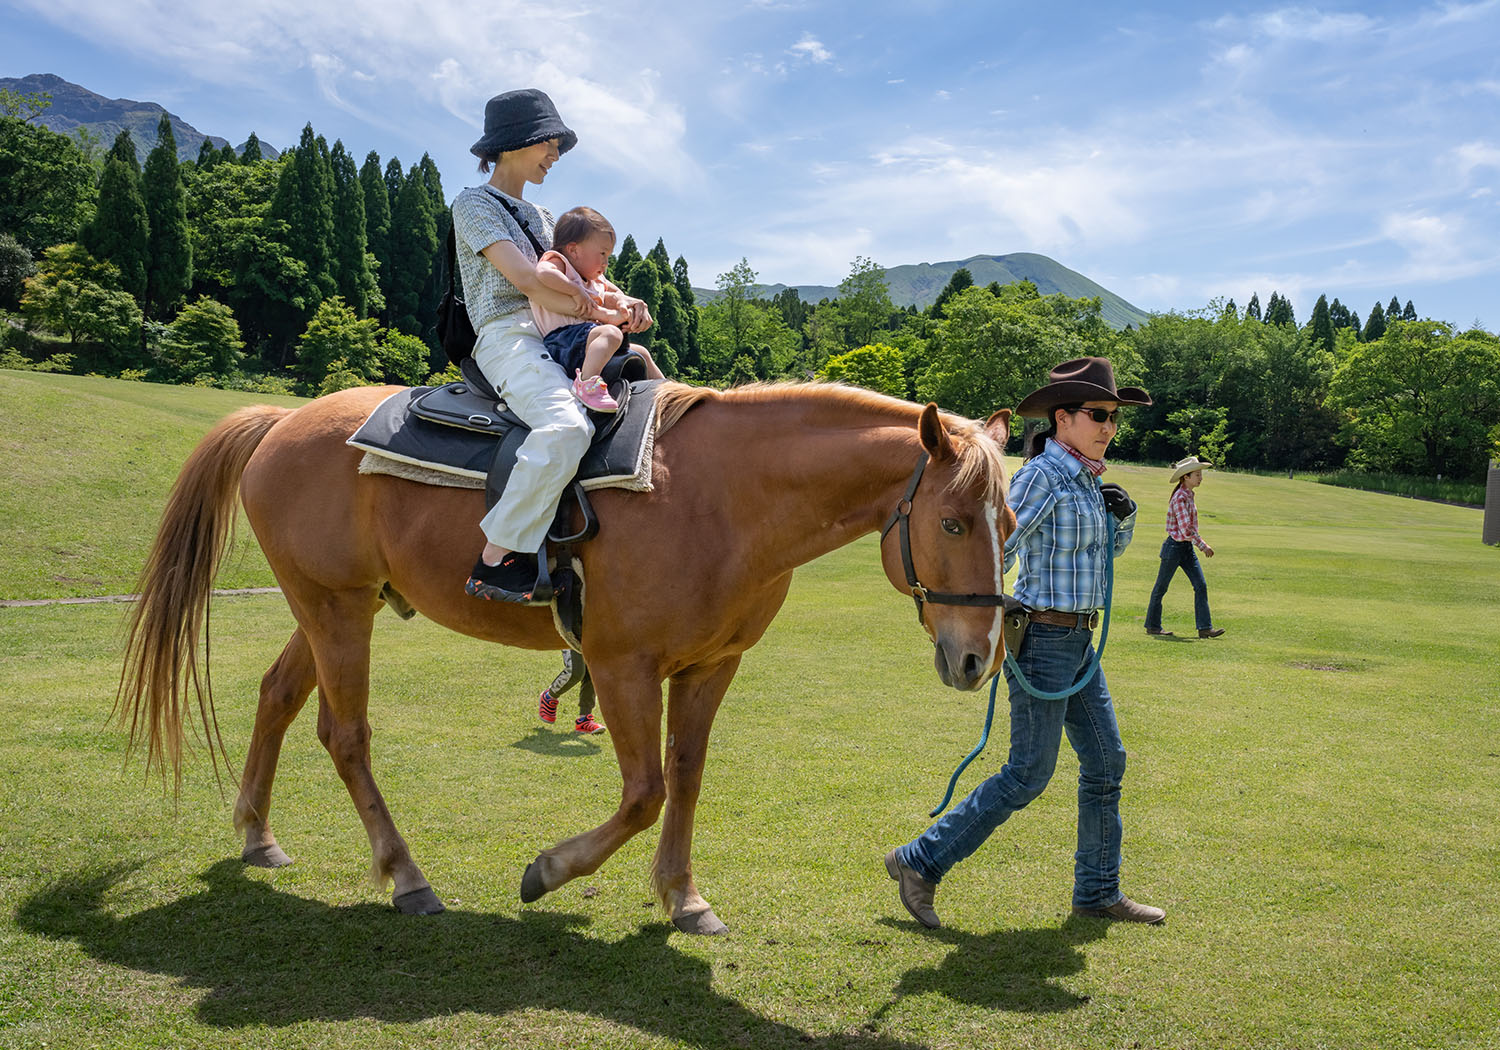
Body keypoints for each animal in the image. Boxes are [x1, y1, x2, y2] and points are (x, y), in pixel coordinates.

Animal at [114, 379, 1008, 936]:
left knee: (276, 696)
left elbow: (685, 778)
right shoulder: (619, 666)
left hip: (336, 605)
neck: (724, 498)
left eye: (1011, 521)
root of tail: (282, 420)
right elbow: (644, 793)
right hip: (334, 610)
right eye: (954, 522)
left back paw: (257, 835)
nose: (979, 658)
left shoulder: (711, 667)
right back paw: (405, 876)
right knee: (346, 735)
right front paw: (549, 870)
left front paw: (683, 897)